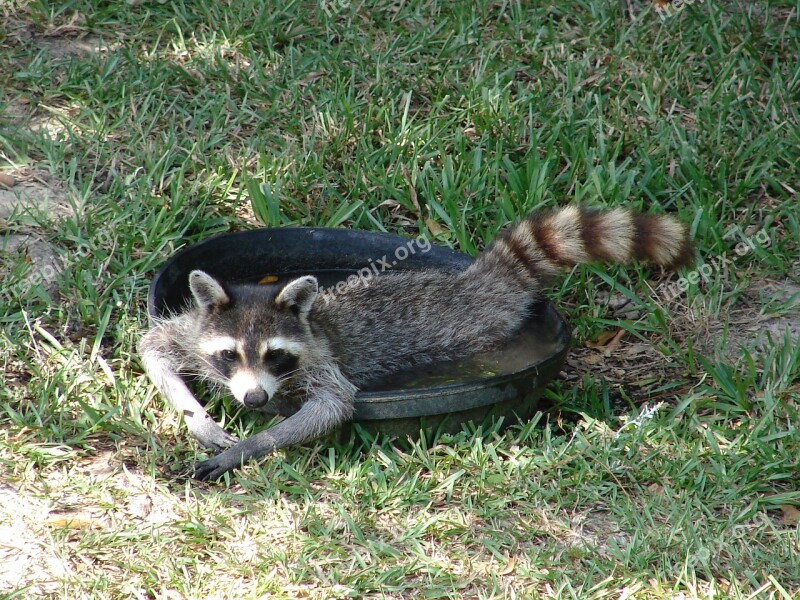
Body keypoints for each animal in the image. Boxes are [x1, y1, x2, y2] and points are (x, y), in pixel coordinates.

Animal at [139, 205, 692, 478]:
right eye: (230, 354)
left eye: (275, 355)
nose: (254, 400)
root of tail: (474, 284)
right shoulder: (195, 330)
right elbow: (154, 347)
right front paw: (197, 416)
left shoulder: (321, 360)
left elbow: (334, 406)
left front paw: (250, 445)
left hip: (480, 327)